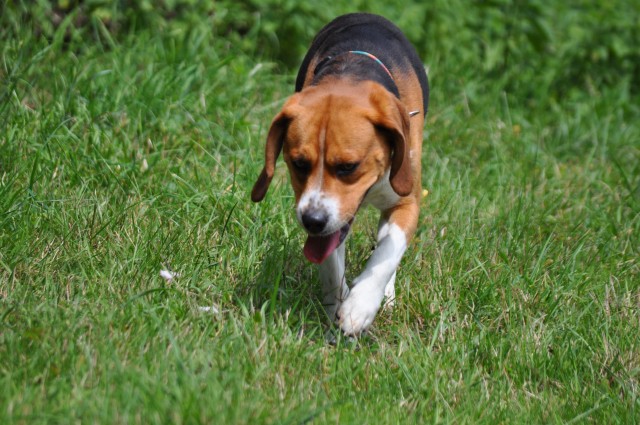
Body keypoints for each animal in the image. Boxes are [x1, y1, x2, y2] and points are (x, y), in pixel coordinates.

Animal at [251, 12, 430, 334]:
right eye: (299, 164)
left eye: (348, 167)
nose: (312, 221)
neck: (352, 74)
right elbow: (332, 265)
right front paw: (339, 303)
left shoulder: (407, 200)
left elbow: (388, 251)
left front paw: (361, 304)